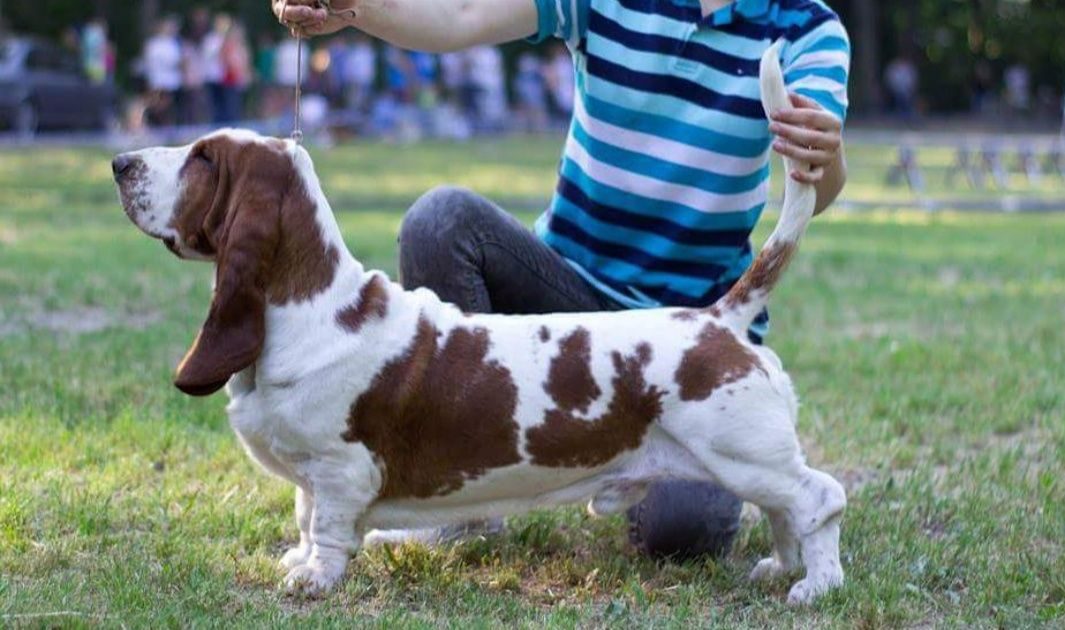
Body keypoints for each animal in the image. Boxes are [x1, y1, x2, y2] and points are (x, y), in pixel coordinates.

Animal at [114, 45, 847, 604]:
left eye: (204, 158)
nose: (119, 162)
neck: (310, 307)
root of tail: (719, 316)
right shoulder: (310, 475)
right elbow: (302, 516)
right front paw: (297, 562)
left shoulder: (339, 467)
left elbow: (326, 526)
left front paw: (314, 580)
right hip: (746, 462)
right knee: (786, 510)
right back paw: (779, 567)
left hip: (738, 453)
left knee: (820, 496)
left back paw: (815, 586)